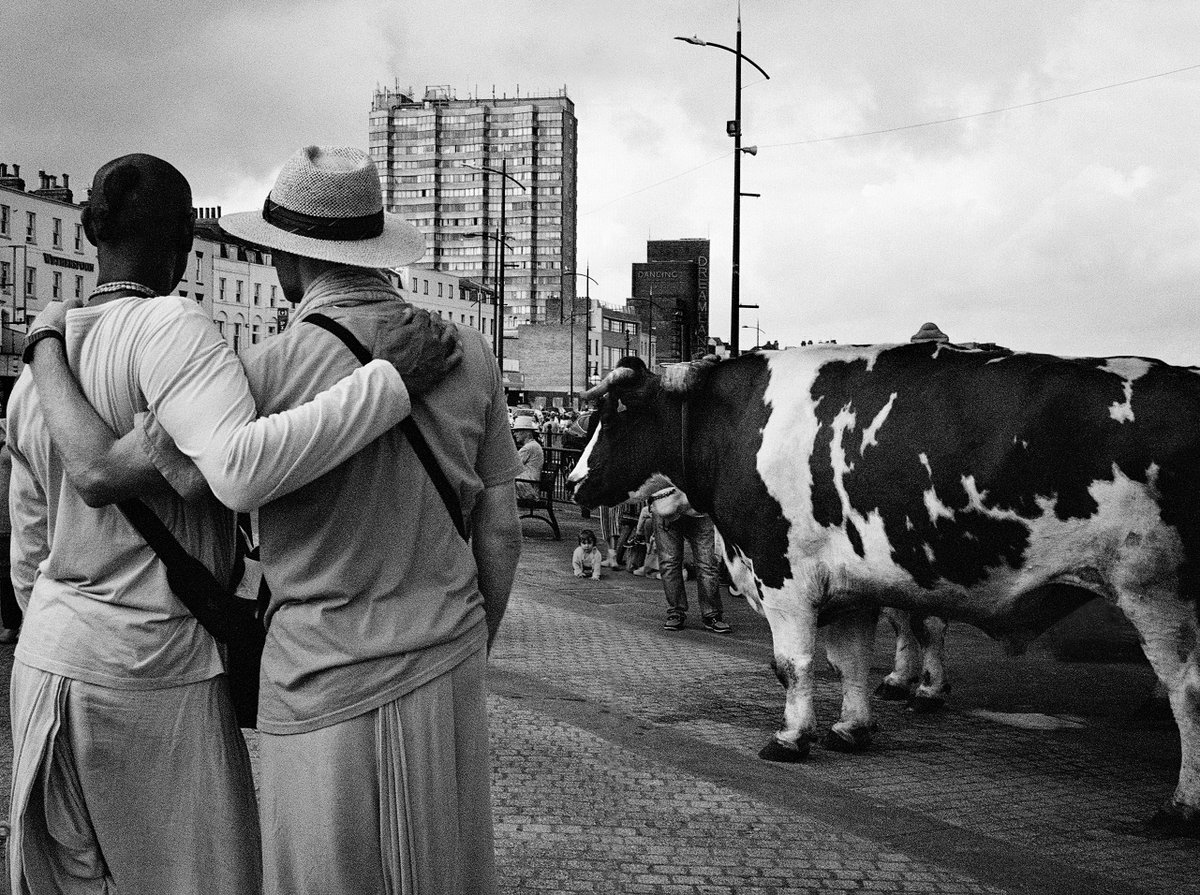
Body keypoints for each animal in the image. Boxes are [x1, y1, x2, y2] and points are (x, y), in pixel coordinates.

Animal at [568, 340, 1200, 830]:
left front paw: (791, 737)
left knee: (1187, 691)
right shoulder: (851, 587)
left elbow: (793, 665)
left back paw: (1182, 804)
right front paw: (851, 727)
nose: (573, 482)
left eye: (616, 414)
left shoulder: (784, 576)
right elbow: (849, 662)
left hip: (1154, 591)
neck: (738, 423)